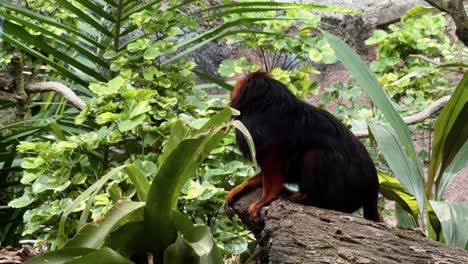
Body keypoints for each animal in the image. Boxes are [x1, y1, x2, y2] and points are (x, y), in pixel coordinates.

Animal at [225, 71, 382, 223]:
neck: (265, 108)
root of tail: (372, 191)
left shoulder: (257, 128)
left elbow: (272, 162)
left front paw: (266, 198)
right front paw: (248, 184)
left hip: (346, 193)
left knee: (317, 153)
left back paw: (312, 199)